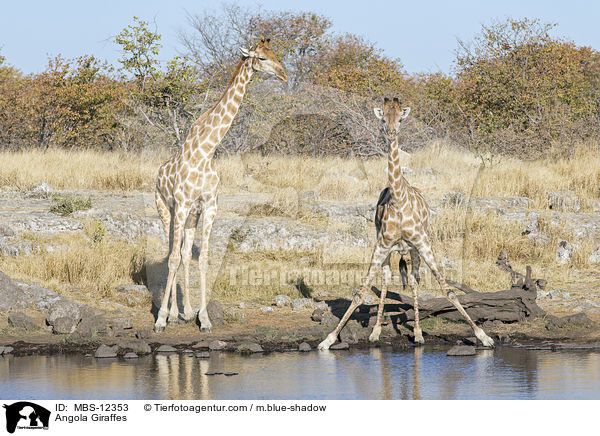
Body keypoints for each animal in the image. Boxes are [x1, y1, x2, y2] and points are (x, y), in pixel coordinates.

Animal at [154, 39, 288, 332]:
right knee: (171, 253)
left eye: (275, 54)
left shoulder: (210, 206)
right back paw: (170, 313)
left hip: (191, 216)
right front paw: (160, 319)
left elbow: (202, 259)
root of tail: (157, 173)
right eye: (262, 58)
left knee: (183, 253)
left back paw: (184, 311)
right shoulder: (181, 205)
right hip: (166, 210)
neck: (207, 151)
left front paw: (203, 318)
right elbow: (172, 258)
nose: (284, 75)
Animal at [318, 97, 492, 350]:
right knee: (386, 279)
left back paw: (418, 334)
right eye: (383, 119)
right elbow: (360, 292)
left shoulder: (423, 243)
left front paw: (483, 336)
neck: (399, 201)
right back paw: (376, 331)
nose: (391, 133)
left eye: (400, 118)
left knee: (414, 280)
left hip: (414, 250)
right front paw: (328, 339)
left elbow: (447, 289)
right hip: (389, 249)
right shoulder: (381, 245)